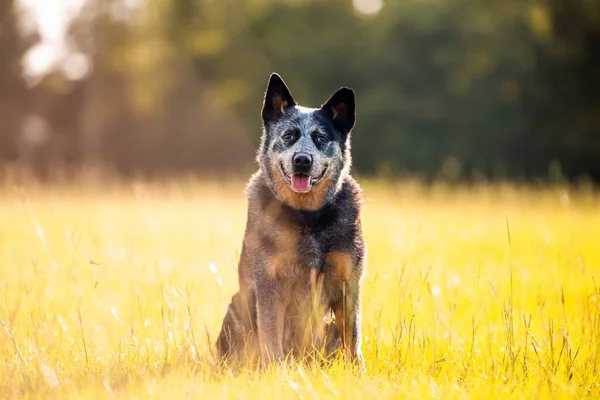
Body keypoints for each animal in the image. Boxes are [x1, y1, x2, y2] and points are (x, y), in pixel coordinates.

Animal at [216, 72, 366, 372]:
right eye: (289, 135)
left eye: (320, 137)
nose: (302, 160)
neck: (307, 216)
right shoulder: (269, 282)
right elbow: (271, 334)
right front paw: (275, 371)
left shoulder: (349, 282)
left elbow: (353, 335)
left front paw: (358, 372)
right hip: (238, 305)